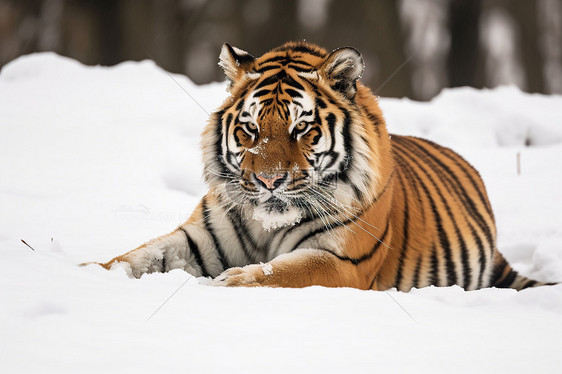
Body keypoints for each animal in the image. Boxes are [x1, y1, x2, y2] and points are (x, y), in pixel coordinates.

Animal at [85, 41, 552, 292]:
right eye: (250, 129)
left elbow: (279, 273)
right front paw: (87, 275)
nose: (269, 180)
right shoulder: (199, 240)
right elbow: (138, 256)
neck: (267, 225)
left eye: (302, 129)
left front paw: (229, 284)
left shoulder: (341, 260)